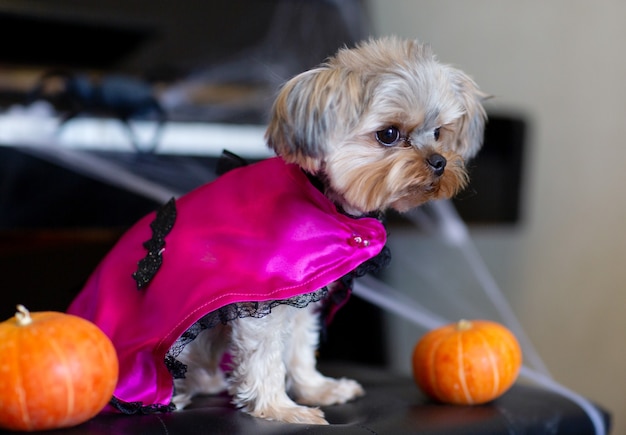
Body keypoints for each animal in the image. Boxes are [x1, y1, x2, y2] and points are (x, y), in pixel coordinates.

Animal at [69, 36, 488, 426]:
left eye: (439, 132)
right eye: (388, 134)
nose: (439, 162)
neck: (323, 199)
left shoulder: (302, 293)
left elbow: (300, 346)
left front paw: (315, 388)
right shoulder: (260, 305)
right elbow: (265, 357)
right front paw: (279, 408)